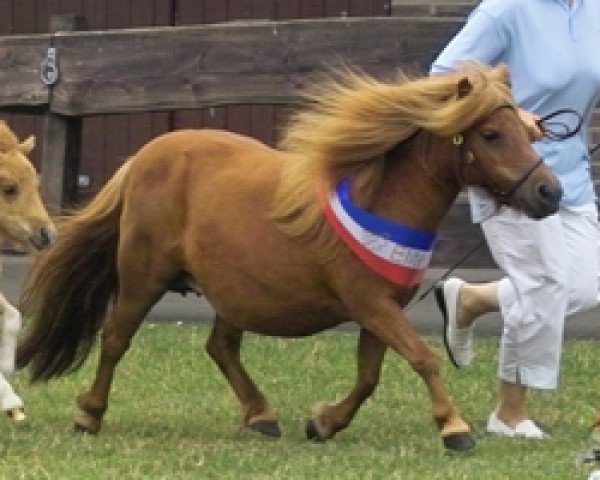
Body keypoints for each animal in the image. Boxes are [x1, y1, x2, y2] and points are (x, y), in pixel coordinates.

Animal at [19, 63, 564, 450]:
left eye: (529, 131)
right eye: (491, 135)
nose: (549, 193)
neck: (380, 200)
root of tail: (142, 158)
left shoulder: (380, 310)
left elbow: (369, 378)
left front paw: (323, 423)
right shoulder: (371, 305)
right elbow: (423, 358)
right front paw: (454, 428)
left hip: (232, 291)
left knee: (220, 347)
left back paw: (261, 415)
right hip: (142, 277)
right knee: (115, 339)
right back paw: (88, 414)